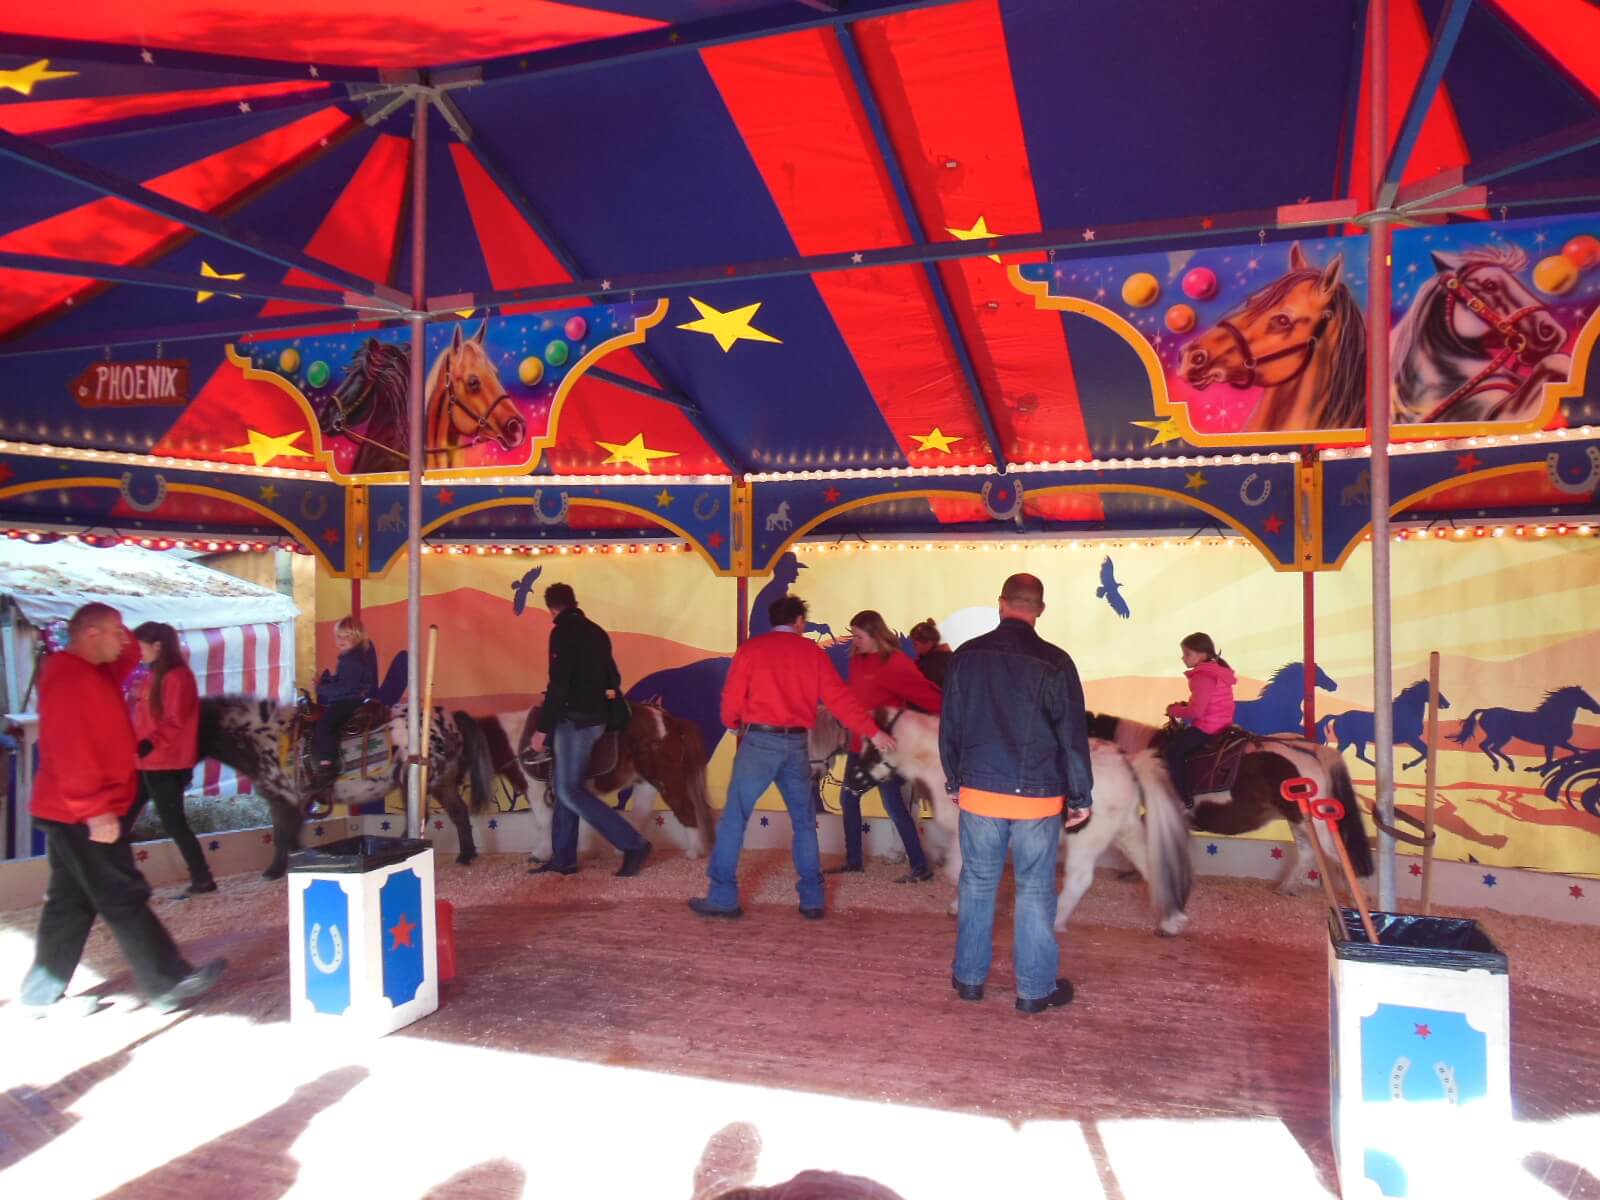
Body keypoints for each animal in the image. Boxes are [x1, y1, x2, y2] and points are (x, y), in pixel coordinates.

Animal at [198, 696, 498, 879]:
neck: (268, 737)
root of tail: (448, 718)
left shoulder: (283, 799)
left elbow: (282, 834)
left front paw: (274, 871)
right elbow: (292, 834)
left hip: (416, 779)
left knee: (425, 816)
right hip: (440, 780)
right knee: (458, 812)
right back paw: (465, 855)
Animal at [487, 700, 715, 864]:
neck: (516, 740)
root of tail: (671, 721)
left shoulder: (536, 790)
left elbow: (543, 822)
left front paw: (541, 854)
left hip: (665, 778)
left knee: (686, 809)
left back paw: (693, 852)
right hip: (645, 783)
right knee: (641, 814)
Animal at [812, 709, 1194, 936]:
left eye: (871, 750)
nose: (849, 784)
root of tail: (1128, 760)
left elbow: (958, 869)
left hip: (1086, 838)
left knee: (1080, 879)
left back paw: (1055, 921)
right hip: (1127, 832)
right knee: (1150, 864)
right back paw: (1171, 921)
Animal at [1317, 680, 1447, 770]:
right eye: (1432, 690)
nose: (1447, 704)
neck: (1407, 712)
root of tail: (1339, 716)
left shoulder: (1412, 739)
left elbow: (1426, 751)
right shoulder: (1411, 738)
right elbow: (1425, 751)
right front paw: (1406, 765)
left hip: (1358, 741)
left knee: (1359, 755)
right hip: (1346, 741)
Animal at [1452, 685, 1600, 772]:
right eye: (1585, 697)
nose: (1597, 709)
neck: (1555, 717)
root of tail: (1486, 711)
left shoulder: (1550, 744)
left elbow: (1550, 758)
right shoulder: (1558, 742)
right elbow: (1574, 752)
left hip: (1497, 736)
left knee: (1487, 747)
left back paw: (1502, 765)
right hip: (1502, 736)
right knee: (1491, 747)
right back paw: (1505, 765)